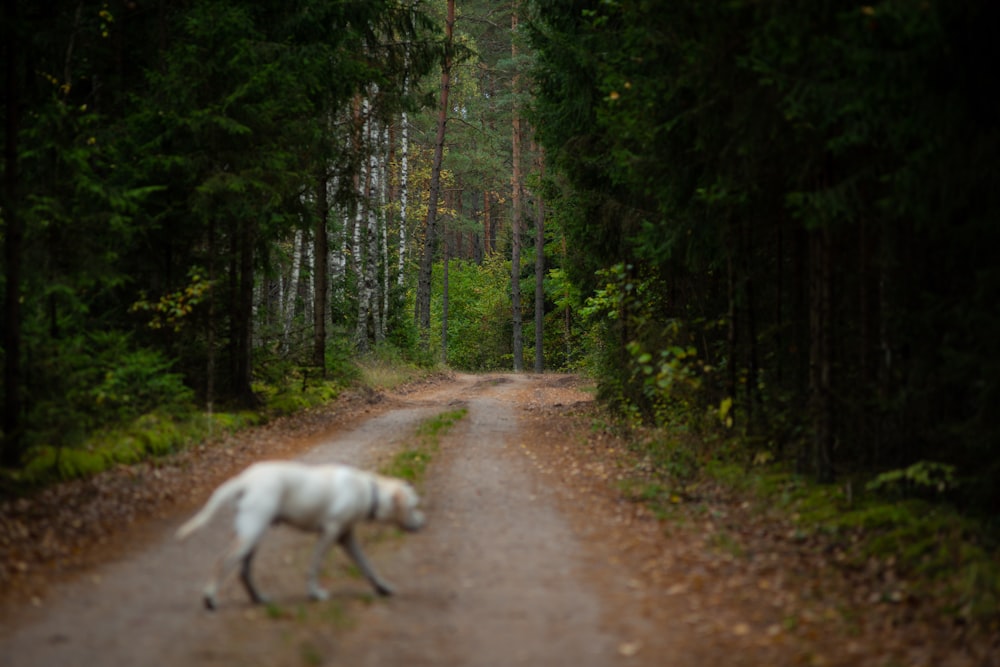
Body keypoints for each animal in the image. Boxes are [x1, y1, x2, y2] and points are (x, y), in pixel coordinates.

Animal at [177, 460, 426, 612]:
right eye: (413, 506)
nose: (424, 522)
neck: (367, 490)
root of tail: (244, 480)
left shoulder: (346, 537)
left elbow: (367, 566)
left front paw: (383, 588)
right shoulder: (329, 532)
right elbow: (315, 566)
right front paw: (315, 593)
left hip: (251, 535)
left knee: (244, 571)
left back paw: (259, 599)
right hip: (251, 533)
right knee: (221, 561)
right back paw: (210, 598)